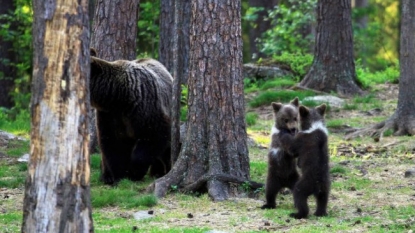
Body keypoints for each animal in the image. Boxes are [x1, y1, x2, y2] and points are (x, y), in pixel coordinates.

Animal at [90, 50, 173, 185]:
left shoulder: (144, 105)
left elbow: (153, 135)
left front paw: (134, 172)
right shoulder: (109, 115)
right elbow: (112, 144)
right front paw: (118, 176)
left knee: (166, 149)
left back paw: (159, 171)